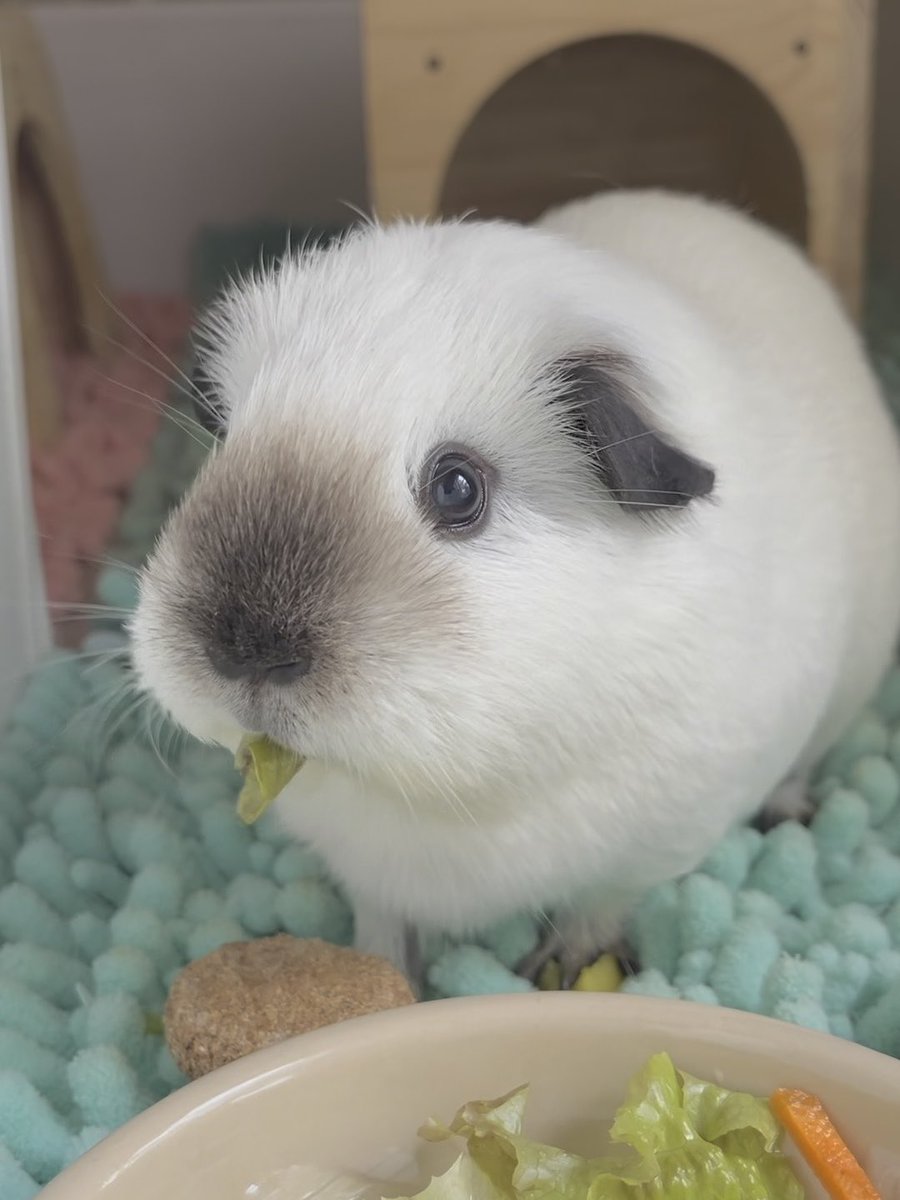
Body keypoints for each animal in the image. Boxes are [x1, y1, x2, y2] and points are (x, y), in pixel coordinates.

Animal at [131, 189, 900, 986]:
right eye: (226, 440)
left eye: (458, 488)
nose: (243, 649)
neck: (439, 798)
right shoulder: (367, 869)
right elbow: (384, 922)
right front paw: (388, 976)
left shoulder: (657, 841)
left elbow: (599, 903)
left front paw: (562, 964)